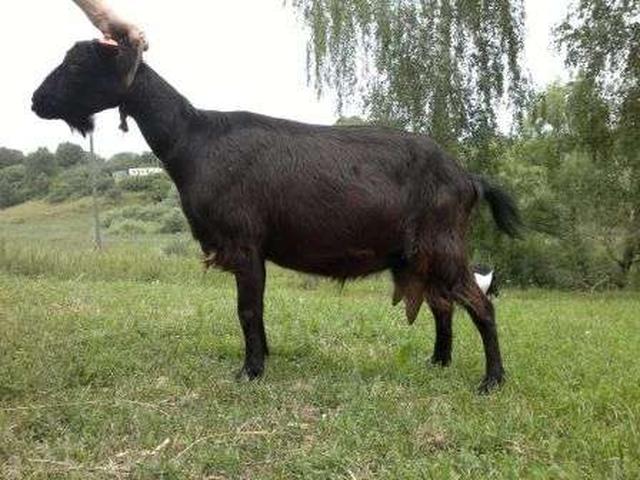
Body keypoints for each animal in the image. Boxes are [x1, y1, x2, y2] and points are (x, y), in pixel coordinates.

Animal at [32, 39, 520, 392]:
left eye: (75, 65)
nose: (36, 102)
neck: (193, 139)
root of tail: (468, 177)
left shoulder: (243, 241)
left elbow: (247, 309)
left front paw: (249, 371)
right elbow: (258, 309)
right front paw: (263, 358)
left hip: (444, 244)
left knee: (480, 306)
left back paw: (491, 381)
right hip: (421, 255)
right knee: (443, 305)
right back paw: (437, 363)